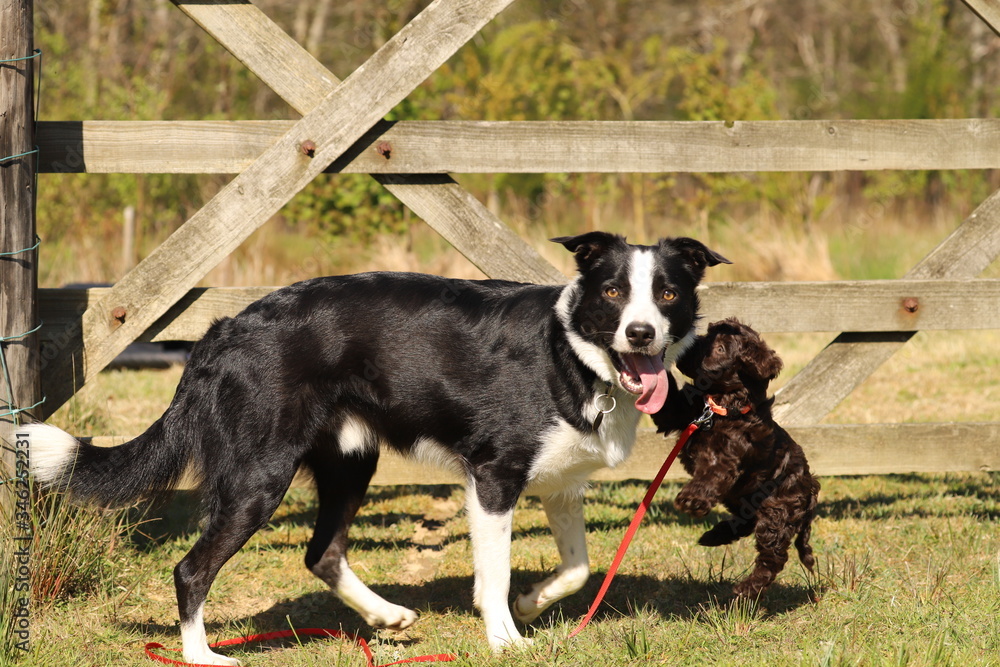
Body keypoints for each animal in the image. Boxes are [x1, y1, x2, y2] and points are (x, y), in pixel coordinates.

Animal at [23, 232, 728, 664]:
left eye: (667, 294)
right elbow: (495, 572)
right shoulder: (493, 479)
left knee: (322, 552)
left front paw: (531, 604)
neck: (572, 355)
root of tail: (223, 329)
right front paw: (505, 638)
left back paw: (385, 616)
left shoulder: (560, 485)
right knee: (192, 569)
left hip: (350, 462)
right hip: (259, 477)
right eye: (613, 292)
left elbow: (577, 567)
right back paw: (202, 655)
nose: (641, 334)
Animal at [656, 320, 820, 600]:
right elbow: (665, 401)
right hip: (747, 499)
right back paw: (715, 535)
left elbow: (710, 476)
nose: (689, 345)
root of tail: (811, 490)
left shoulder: (726, 459)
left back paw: (745, 590)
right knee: (746, 523)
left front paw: (691, 499)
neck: (722, 407)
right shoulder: (677, 412)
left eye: (720, 348)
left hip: (777, 513)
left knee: (772, 557)